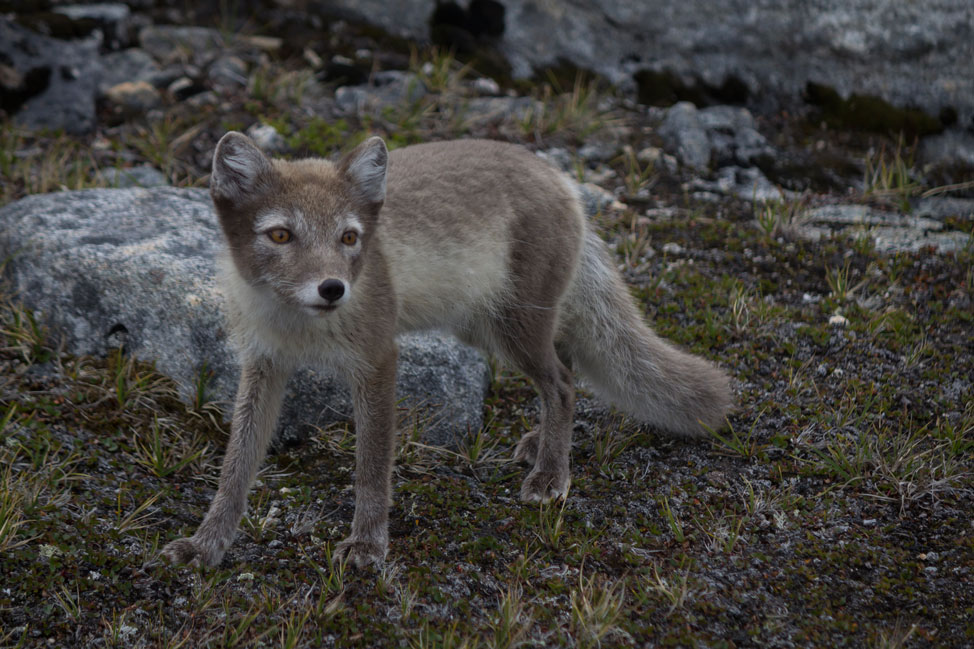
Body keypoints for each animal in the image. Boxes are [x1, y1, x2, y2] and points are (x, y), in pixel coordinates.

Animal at [162, 133, 732, 568]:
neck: (299, 327)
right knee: (566, 367)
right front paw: (207, 544)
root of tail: (559, 178)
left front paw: (367, 545)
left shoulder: (378, 360)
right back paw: (542, 443)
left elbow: (371, 469)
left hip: (514, 330)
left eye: (349, 238)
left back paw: (552, 473)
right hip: (489, 329)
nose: (332, 289)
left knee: (564, 385)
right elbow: (236, 468)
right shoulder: (262, 366)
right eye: (280, 235)